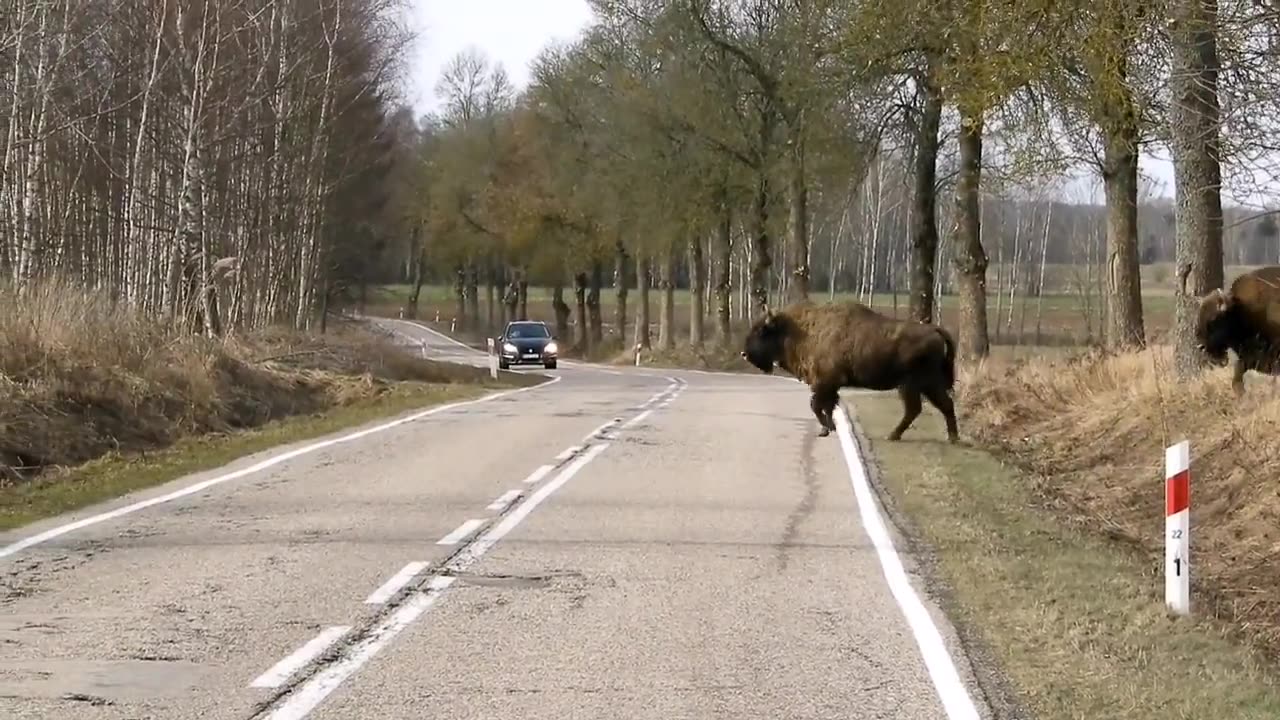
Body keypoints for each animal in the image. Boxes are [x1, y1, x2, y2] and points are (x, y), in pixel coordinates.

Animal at [737, 298, 957, 443]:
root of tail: (935, 330)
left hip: (911, 385)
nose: (744, 354)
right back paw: (952, 438)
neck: (798, 330)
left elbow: (816, 406)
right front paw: (827, 428)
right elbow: (826, 406)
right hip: (928, 384)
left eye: (762, 330)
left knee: (917, 408)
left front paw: (828, 428)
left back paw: (894, 435)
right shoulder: (828, 386)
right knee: (943, 404)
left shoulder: (825, 382)